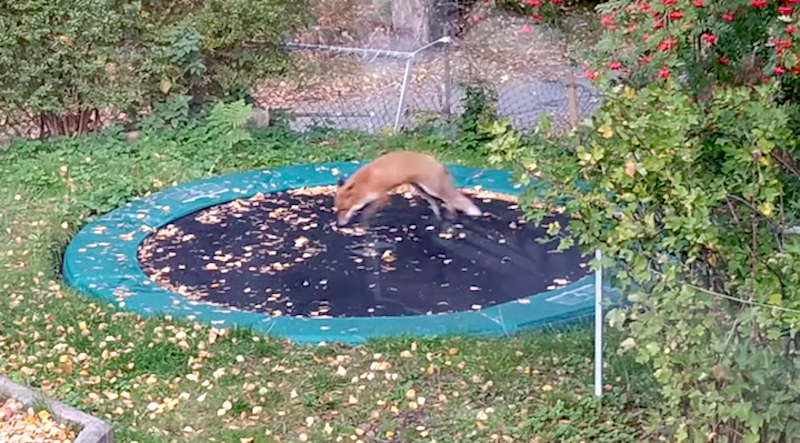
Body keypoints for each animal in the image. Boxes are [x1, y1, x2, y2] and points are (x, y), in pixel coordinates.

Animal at [332, 152, 482, 227]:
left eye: (344, 209)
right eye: (338, 210)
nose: (340, 224)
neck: (365, 183)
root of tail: (438, 163)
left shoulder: (383, 196)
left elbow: (368, 212)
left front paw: (364, 223)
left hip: (432, 189)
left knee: (450, 200)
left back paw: (452, 216)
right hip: (421, 190)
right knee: (435, 203)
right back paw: (438, 217)